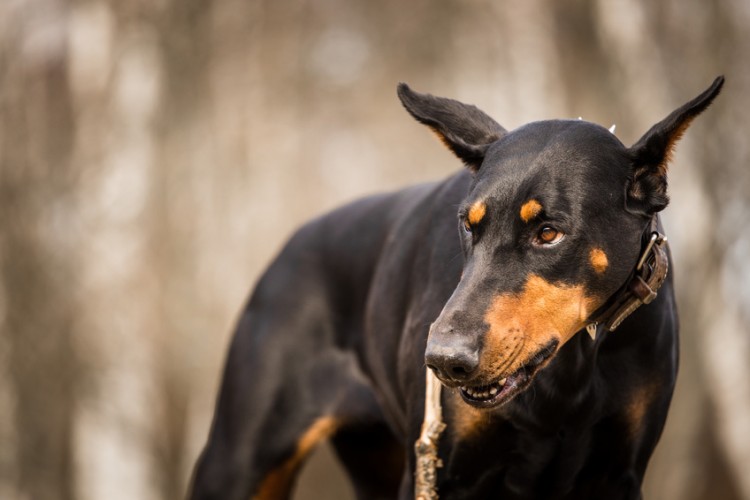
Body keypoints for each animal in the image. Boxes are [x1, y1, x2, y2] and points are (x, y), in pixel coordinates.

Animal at [191, 76, 724, 498]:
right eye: (469, 225)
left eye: (549, 232)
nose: (445, 360)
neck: (573, 366)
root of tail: (284, 250)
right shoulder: (440, 473)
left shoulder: (618, 474)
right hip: (239, 462)